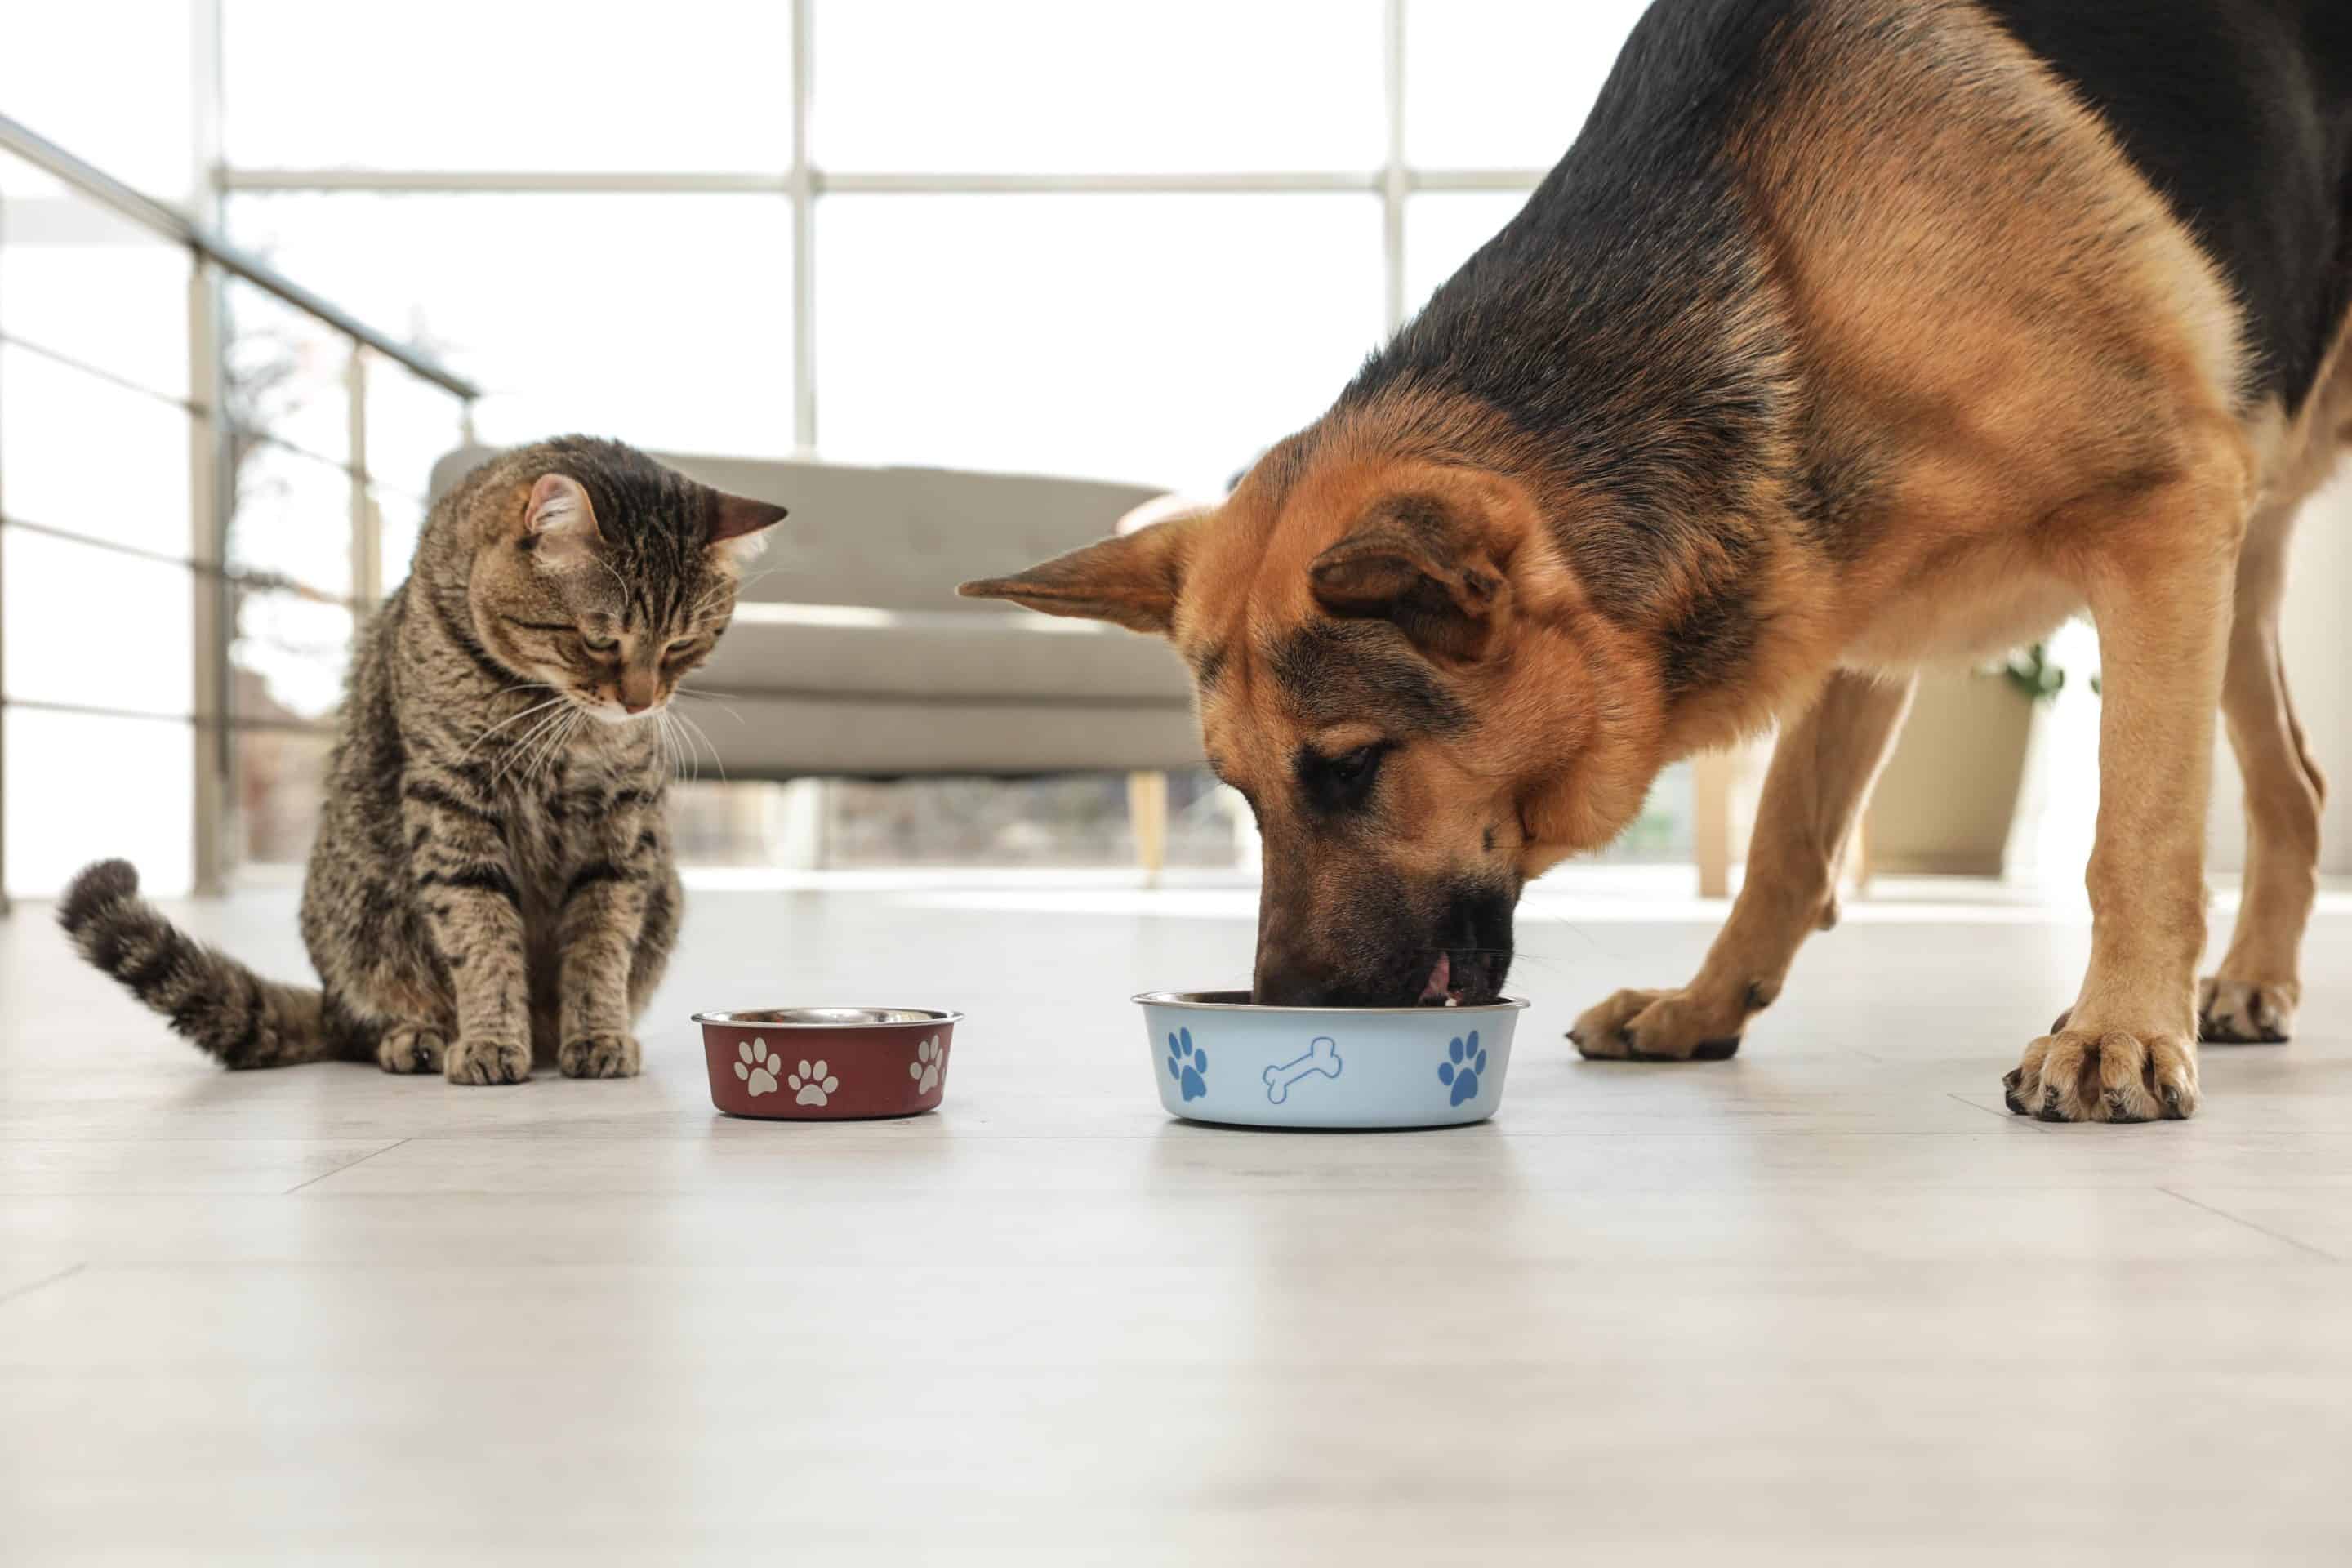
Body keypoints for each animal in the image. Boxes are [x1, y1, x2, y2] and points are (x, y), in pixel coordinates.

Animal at [52, 434, 790, 1085]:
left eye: (683, 644)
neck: (551, 715)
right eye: (598, 640)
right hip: (362, 907)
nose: (641, 703)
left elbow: (601, 941)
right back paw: (421, 1037)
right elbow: (481, 934)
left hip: (664, 883)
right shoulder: (452, 802)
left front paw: (599, 1033)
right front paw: (490, 1039)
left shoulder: (619, 819)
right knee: (372, 1017)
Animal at [960, 0, 2352, 1128]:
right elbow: (1788, 843)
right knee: (2295, 782)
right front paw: (1703, 1005)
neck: (1783, 255)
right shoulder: (1855, 616)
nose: (1289, 1007)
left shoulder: (2163, 514)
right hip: (2229, 580)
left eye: (1352, 769)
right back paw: (2250, 979)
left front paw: (2117, 1029)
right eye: (1239, 794)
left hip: (2212, 554)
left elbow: (2140, 829)